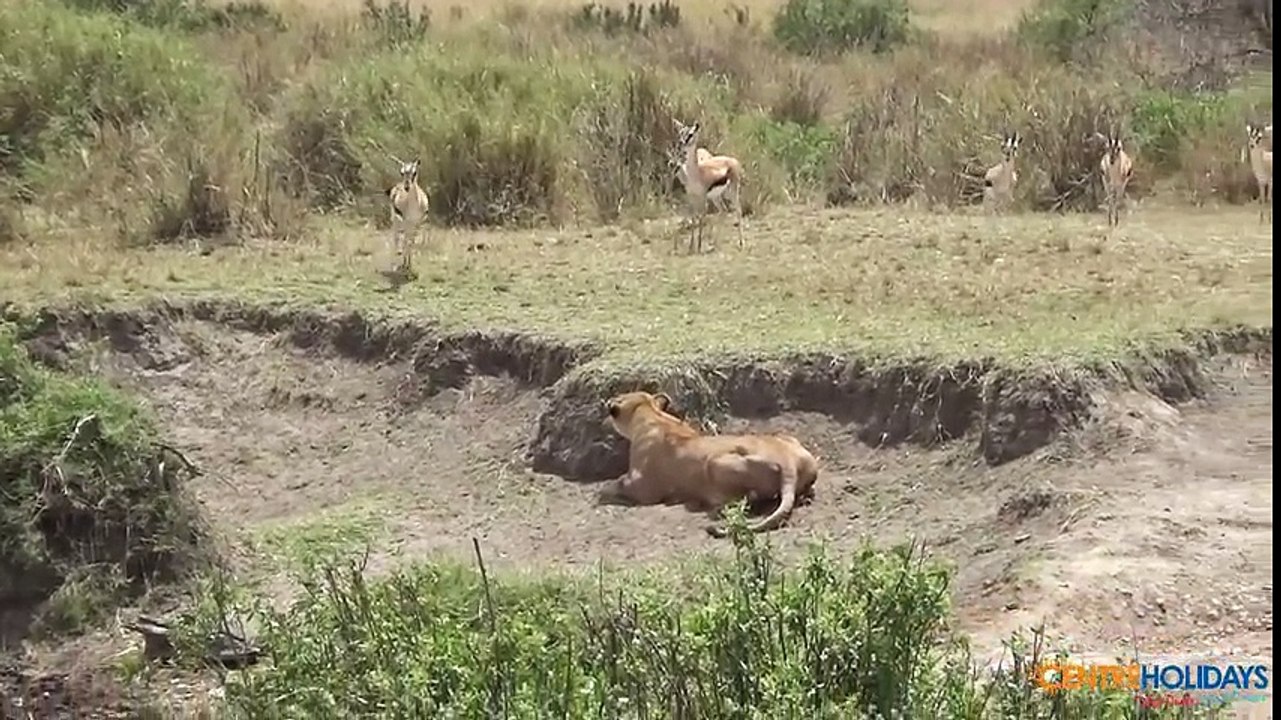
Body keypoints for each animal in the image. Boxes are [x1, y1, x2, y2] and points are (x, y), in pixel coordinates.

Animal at [597, 390, 820, 537]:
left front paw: (603, 490)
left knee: (745, 500)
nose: (608, 401)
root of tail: (787, 462)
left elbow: (616, 484)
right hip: (789, 441)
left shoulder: (643, 487)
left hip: (714, 462)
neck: (651, 414)